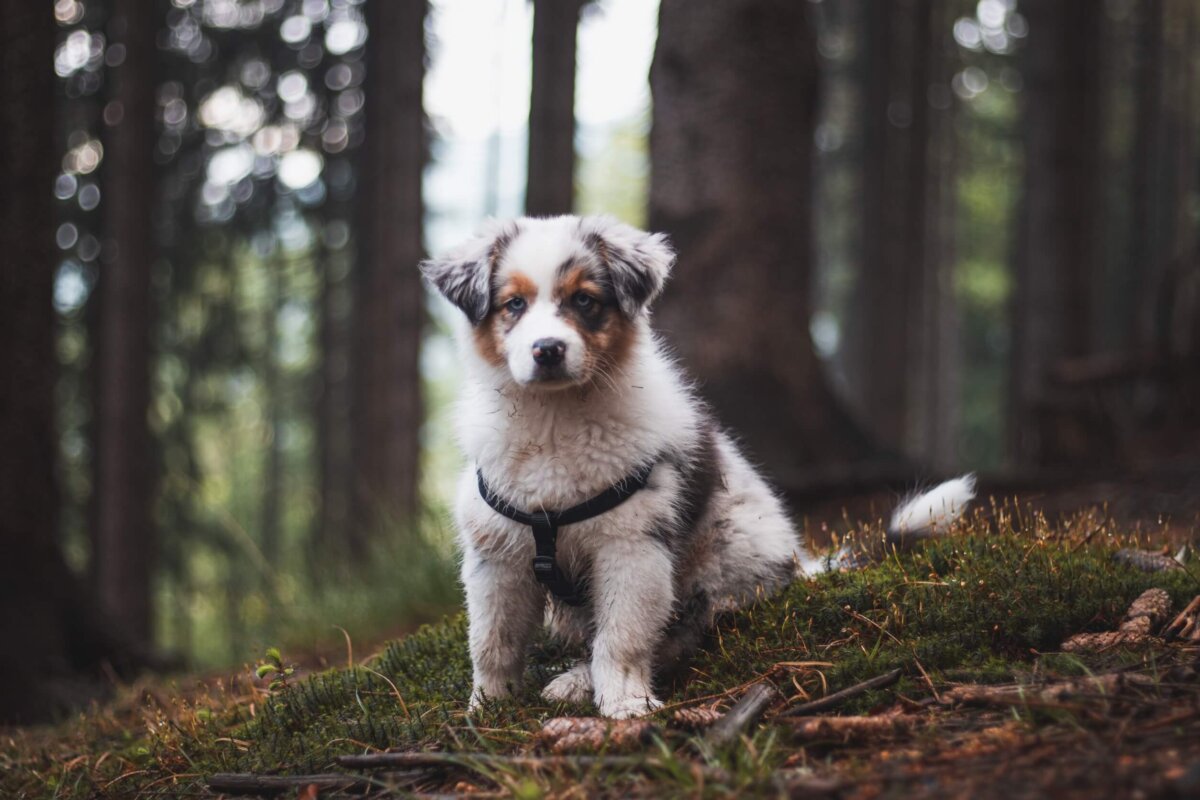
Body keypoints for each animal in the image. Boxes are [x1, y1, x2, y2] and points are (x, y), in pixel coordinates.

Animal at [422, 212, 974, 719]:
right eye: (514, 304)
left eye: (584, 300)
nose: (548, 351)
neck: (555, 422)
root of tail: (801, 564)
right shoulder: (497, 552)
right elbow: (492, 641)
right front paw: (486, 708)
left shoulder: (634, 545)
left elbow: (623, 636)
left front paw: (626, 703)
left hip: (719, 569)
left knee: (680, 632)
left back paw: (577, 681)